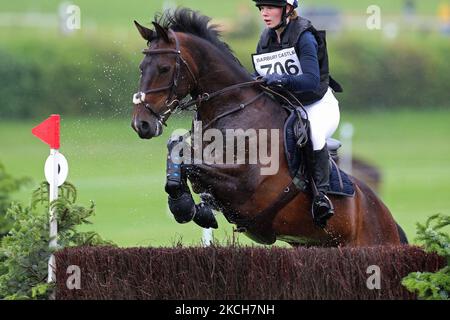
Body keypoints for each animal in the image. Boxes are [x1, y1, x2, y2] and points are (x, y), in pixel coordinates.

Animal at [130, 8, 408, 248]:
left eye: (164, 68)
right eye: (141, 68)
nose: (141, 124)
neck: (233, 108)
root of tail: (388, 219)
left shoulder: (246, 187)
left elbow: (192, 166)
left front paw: (185, 206)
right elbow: (179, 154)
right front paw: (189, 205)